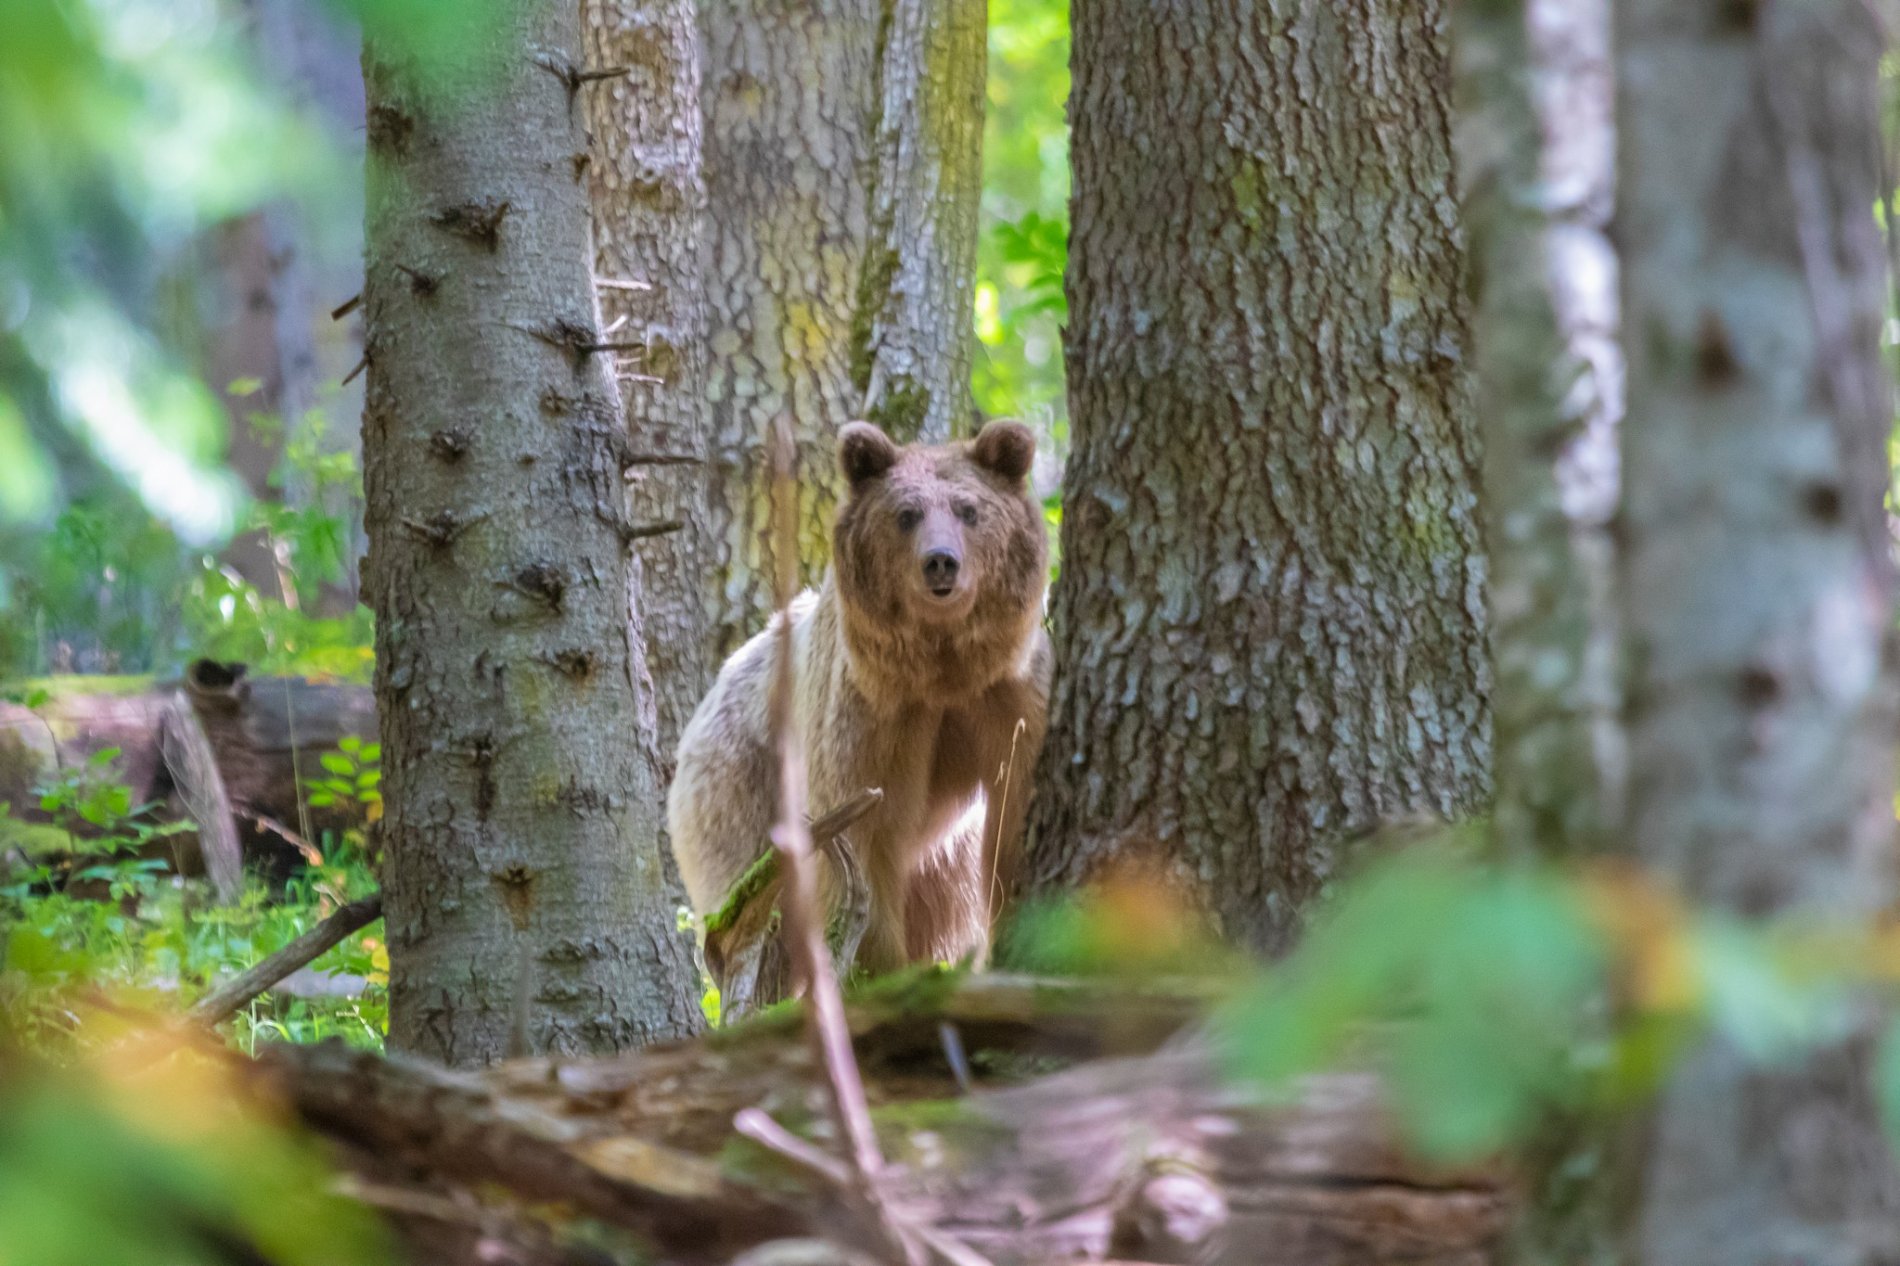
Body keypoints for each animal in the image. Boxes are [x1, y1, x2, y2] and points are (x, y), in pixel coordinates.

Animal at [668, 418, 1056, 969]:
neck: (943, 669)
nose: (941, 563)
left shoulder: (1010, 698)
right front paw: (877, 964)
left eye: (969, 510)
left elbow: (1013, 822)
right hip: (738, 794)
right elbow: (864, 840)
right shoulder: (868, 715)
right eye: (907, 514)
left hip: (942, 858)